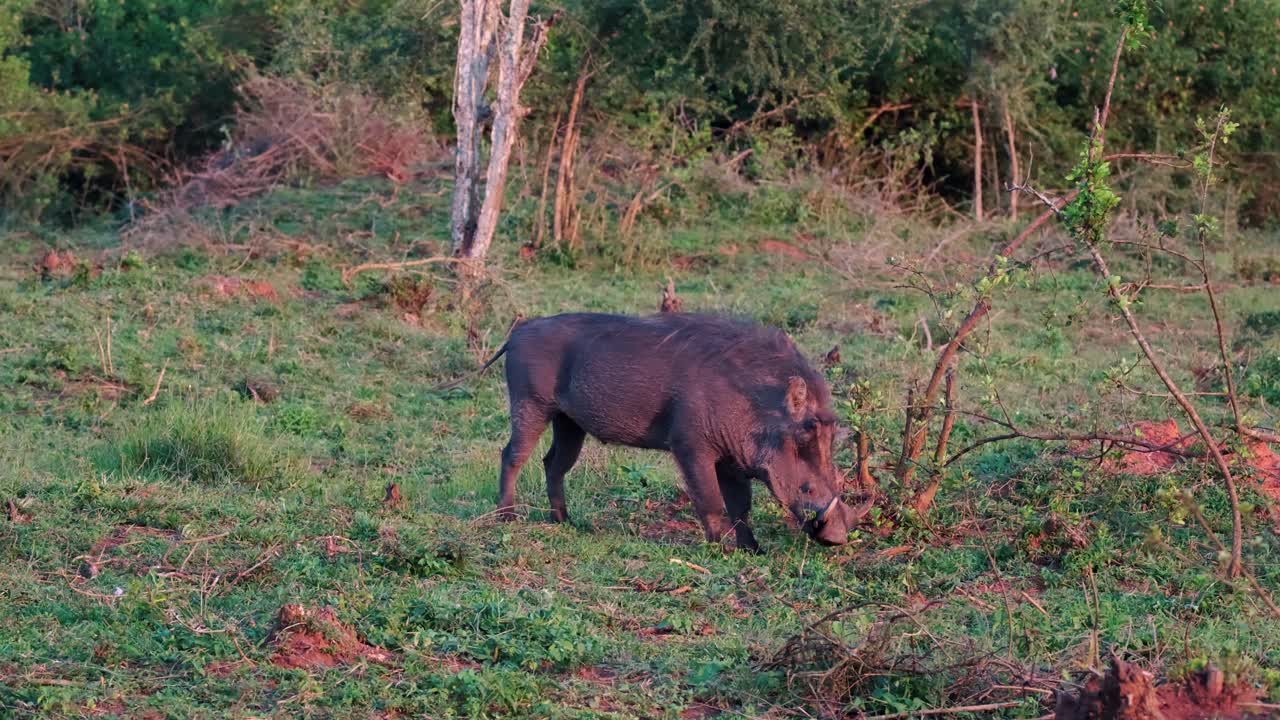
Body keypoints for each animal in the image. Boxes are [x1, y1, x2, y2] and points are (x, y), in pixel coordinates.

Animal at [450, 312, 869, 551]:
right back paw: (507, 517)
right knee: (512, 456)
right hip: (530, 405)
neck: (754, 400)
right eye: (805, 436)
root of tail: (517, 332)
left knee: (554, 464)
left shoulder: (733, 459)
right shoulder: (692, 448)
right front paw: (721, 551)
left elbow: (741, 507)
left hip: (570, 422)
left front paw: (753, 551)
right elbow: (712, 502)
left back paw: (565, 521)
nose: (838, 537)